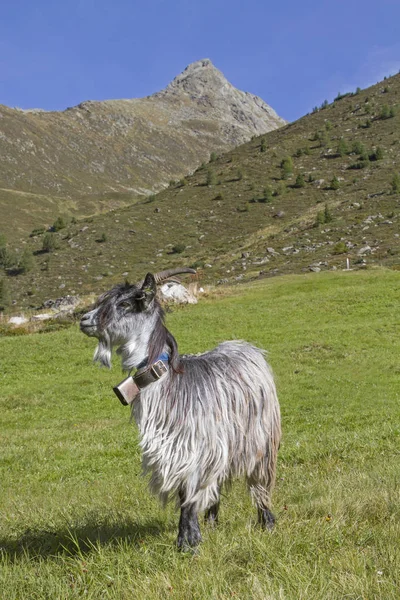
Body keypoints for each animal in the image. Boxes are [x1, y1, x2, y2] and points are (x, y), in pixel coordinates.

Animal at [79, 270, 282, 552]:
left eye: (125, 303)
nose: (84, 319)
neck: (168, 383)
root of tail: (247, 347)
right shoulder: (176, 451)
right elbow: (185, 492)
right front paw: (187, 538)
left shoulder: (192, 448)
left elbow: (188, 495)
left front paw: (189, 543)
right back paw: (212, 520)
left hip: (260, 437)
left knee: (259, 480)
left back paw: (267, 521)